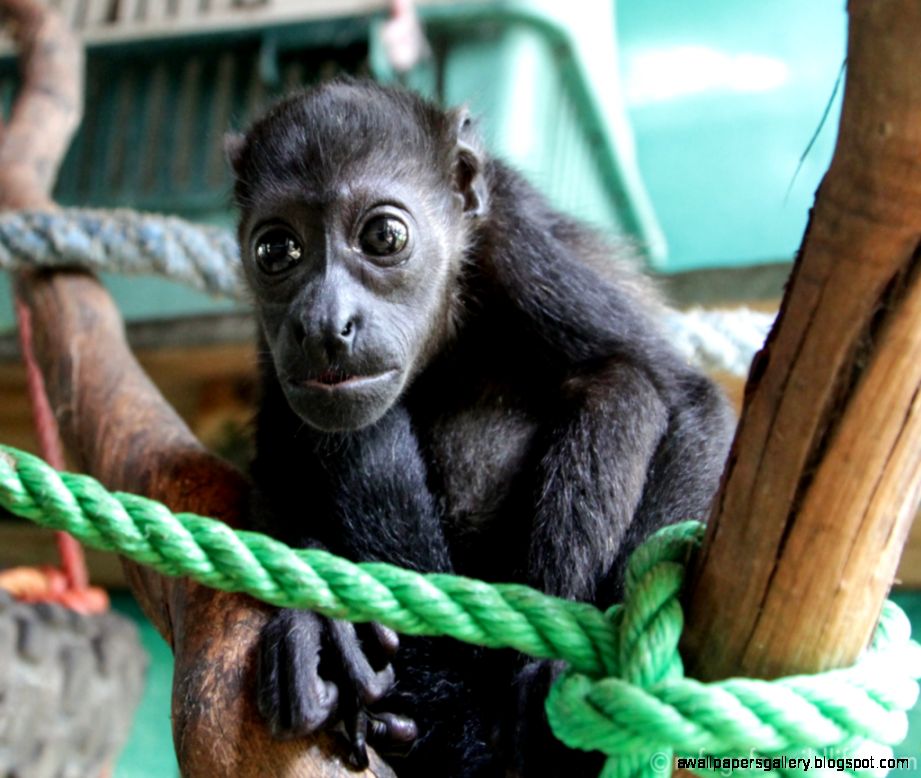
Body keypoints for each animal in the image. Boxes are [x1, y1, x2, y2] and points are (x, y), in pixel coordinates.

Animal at [226, 79, 734, 778]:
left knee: (622, 386)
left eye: (384, 236)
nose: (325, 323)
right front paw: (319, 621)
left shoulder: (517, 241)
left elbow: (688, 400)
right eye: (276, 250)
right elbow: (272, 464)